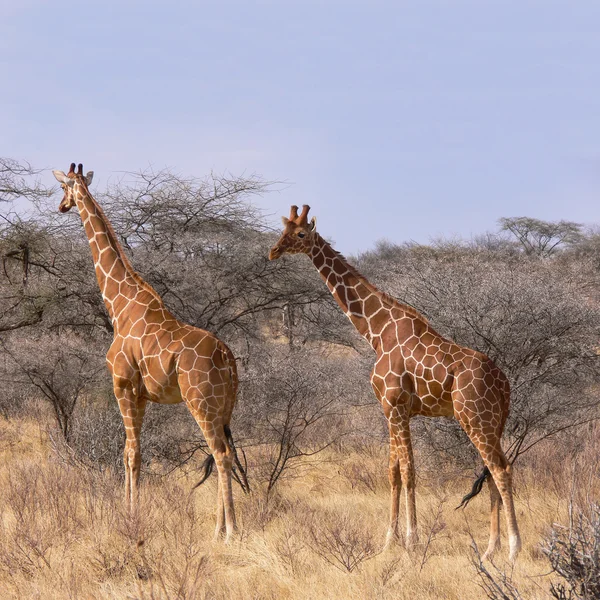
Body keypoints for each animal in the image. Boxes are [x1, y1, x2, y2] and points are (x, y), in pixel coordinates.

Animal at [51, 164, 247, 544]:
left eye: (64, 187)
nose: (61, 206)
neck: (119, 304)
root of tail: (228, 357)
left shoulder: (122, 385)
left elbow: (130, 453)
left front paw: (130, 517)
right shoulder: (141, 394)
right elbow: (135, 452)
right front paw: (131, 512)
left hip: (200, 401)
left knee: (220, 453)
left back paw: (230, 531)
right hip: (225, 406)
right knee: (223, 453)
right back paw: (218, 528)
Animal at [270, 206, 524, 564]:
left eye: (301, 234)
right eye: (283, 230)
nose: (273, 251)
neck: (377, 331)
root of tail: (504, 384)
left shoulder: (396, 406)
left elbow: (408, 471)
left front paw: (412, 540)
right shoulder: (389, 410)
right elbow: (392, 472)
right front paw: (390, 540)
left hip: (475, 418)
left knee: (501, 470)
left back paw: (514, 549)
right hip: (492, 422)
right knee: (491, 473)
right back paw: (489, 550)